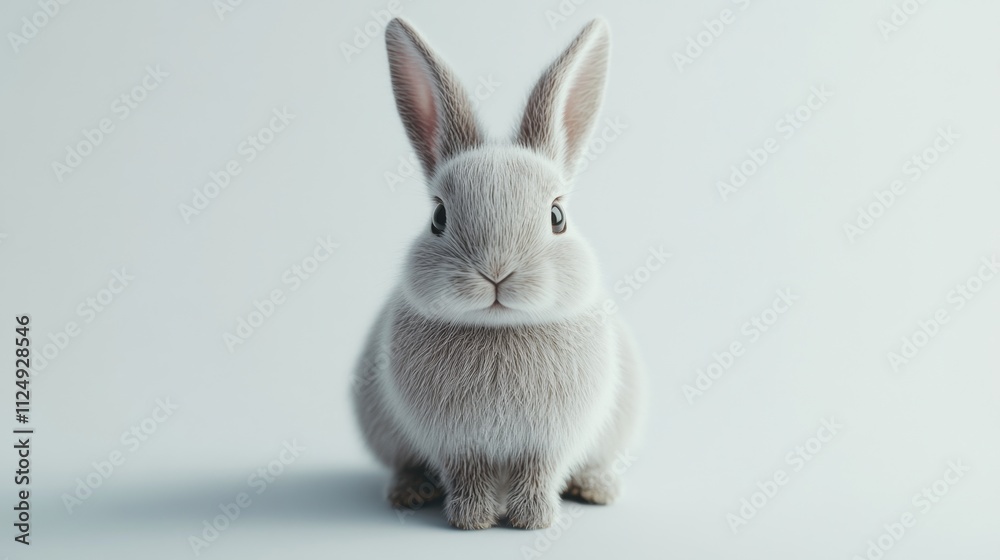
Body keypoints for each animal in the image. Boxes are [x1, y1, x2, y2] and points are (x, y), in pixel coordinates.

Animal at [352, 16, 645, 530]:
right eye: (438, 217)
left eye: (557, 217)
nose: (496, 272)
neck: (500, 326)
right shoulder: (457, 445)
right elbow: (467, 475)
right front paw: (471, 520)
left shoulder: (549, 442)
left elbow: (539, 473)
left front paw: (533, 520)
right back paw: (409, 493)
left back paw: (596, 489)